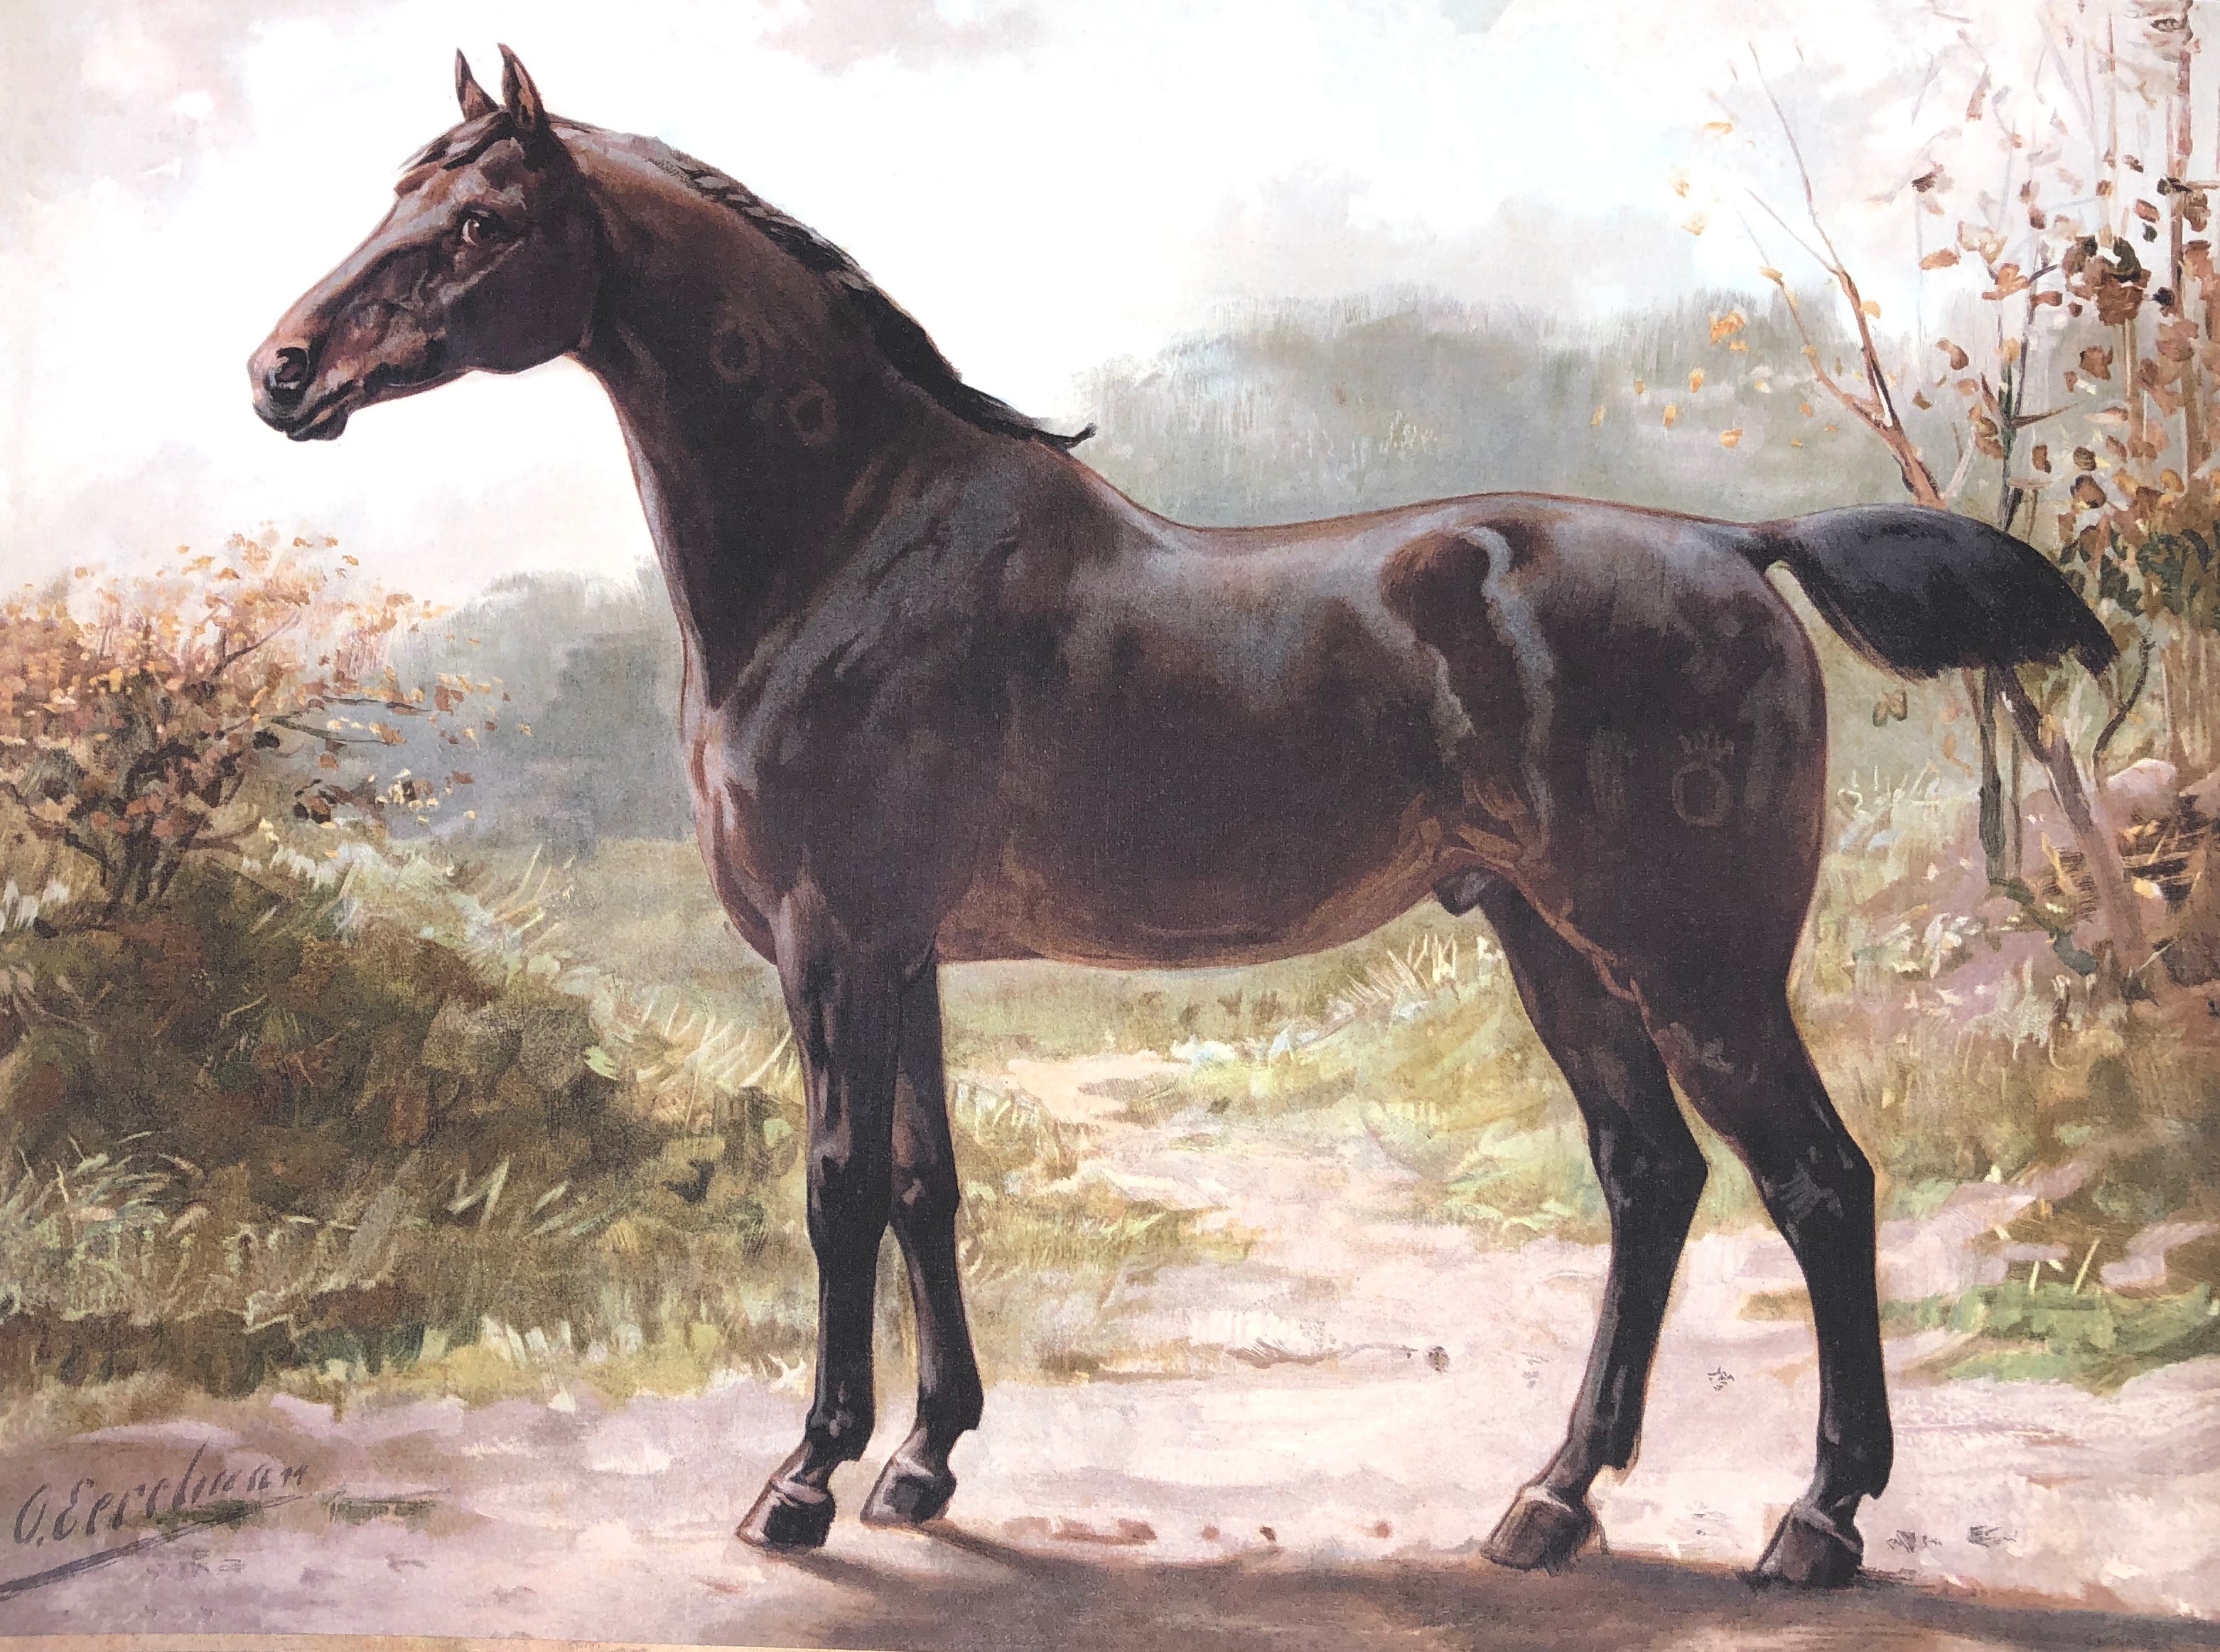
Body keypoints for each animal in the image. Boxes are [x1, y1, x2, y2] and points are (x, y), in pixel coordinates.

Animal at [251, 48, 2115, 1588]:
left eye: (478, 216)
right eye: (396, 187)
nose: (280, 373)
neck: (850, 542)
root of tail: (1740, 544)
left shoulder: (830, 946)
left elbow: (839, 1187)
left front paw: (802, 1479)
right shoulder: (902, 956)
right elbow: (927, 1184)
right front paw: (924, 1465)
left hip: (1689, 960)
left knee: (1817, 1183)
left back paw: (1815, 1522)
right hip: (1552, 945)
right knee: (1650, 1179)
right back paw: (1550, 1501)